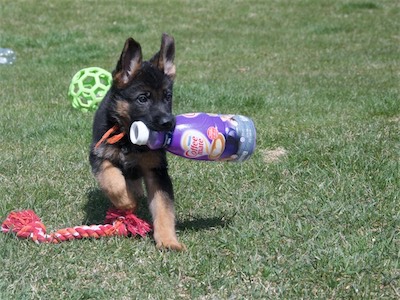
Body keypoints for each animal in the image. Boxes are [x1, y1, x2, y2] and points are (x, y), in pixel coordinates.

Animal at [89, 33, 184, 251]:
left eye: (167, 97)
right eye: (142, 99)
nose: (168, 123)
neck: (128, 140)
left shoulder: (156, 170)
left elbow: (163, 208)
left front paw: (168, 241)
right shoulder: (99, 155)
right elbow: (112, 180)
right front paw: (126, 203)